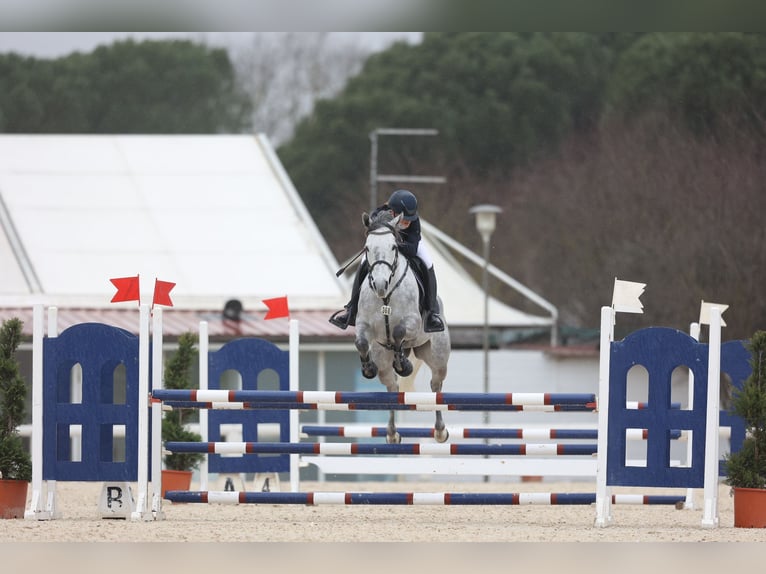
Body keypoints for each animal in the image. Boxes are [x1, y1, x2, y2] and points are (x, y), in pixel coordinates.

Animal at [356, 210, 452, 446]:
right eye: (367, 248)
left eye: (393, 247)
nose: (380, 285)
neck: (386, 297)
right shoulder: (363, 325)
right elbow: (361, 342)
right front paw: (367, 368)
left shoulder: (413, 323)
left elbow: (399, 331)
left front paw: (404, 365)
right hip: (383, 360)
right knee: (393, 387)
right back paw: (392, 433)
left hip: (437, 357)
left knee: (436, 386)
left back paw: (440, 431)